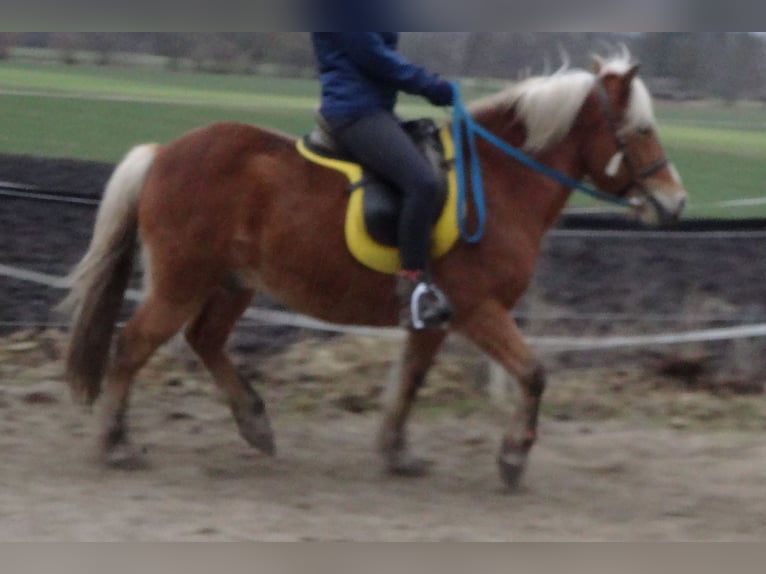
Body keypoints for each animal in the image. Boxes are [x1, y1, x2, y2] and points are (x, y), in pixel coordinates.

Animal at [61, 54, 687, 489]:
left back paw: (254, 424)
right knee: (134, 345)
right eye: (641, 129)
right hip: (182, 282)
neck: (500, 183)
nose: (676, 203)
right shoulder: (479, 309)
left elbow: (410, 380)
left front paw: (396, 452)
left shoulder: (436, 316)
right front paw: (511, 458)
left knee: (204, 339)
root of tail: (164, 153)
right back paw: (116, 444)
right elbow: (533, 374)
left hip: (233, 283)